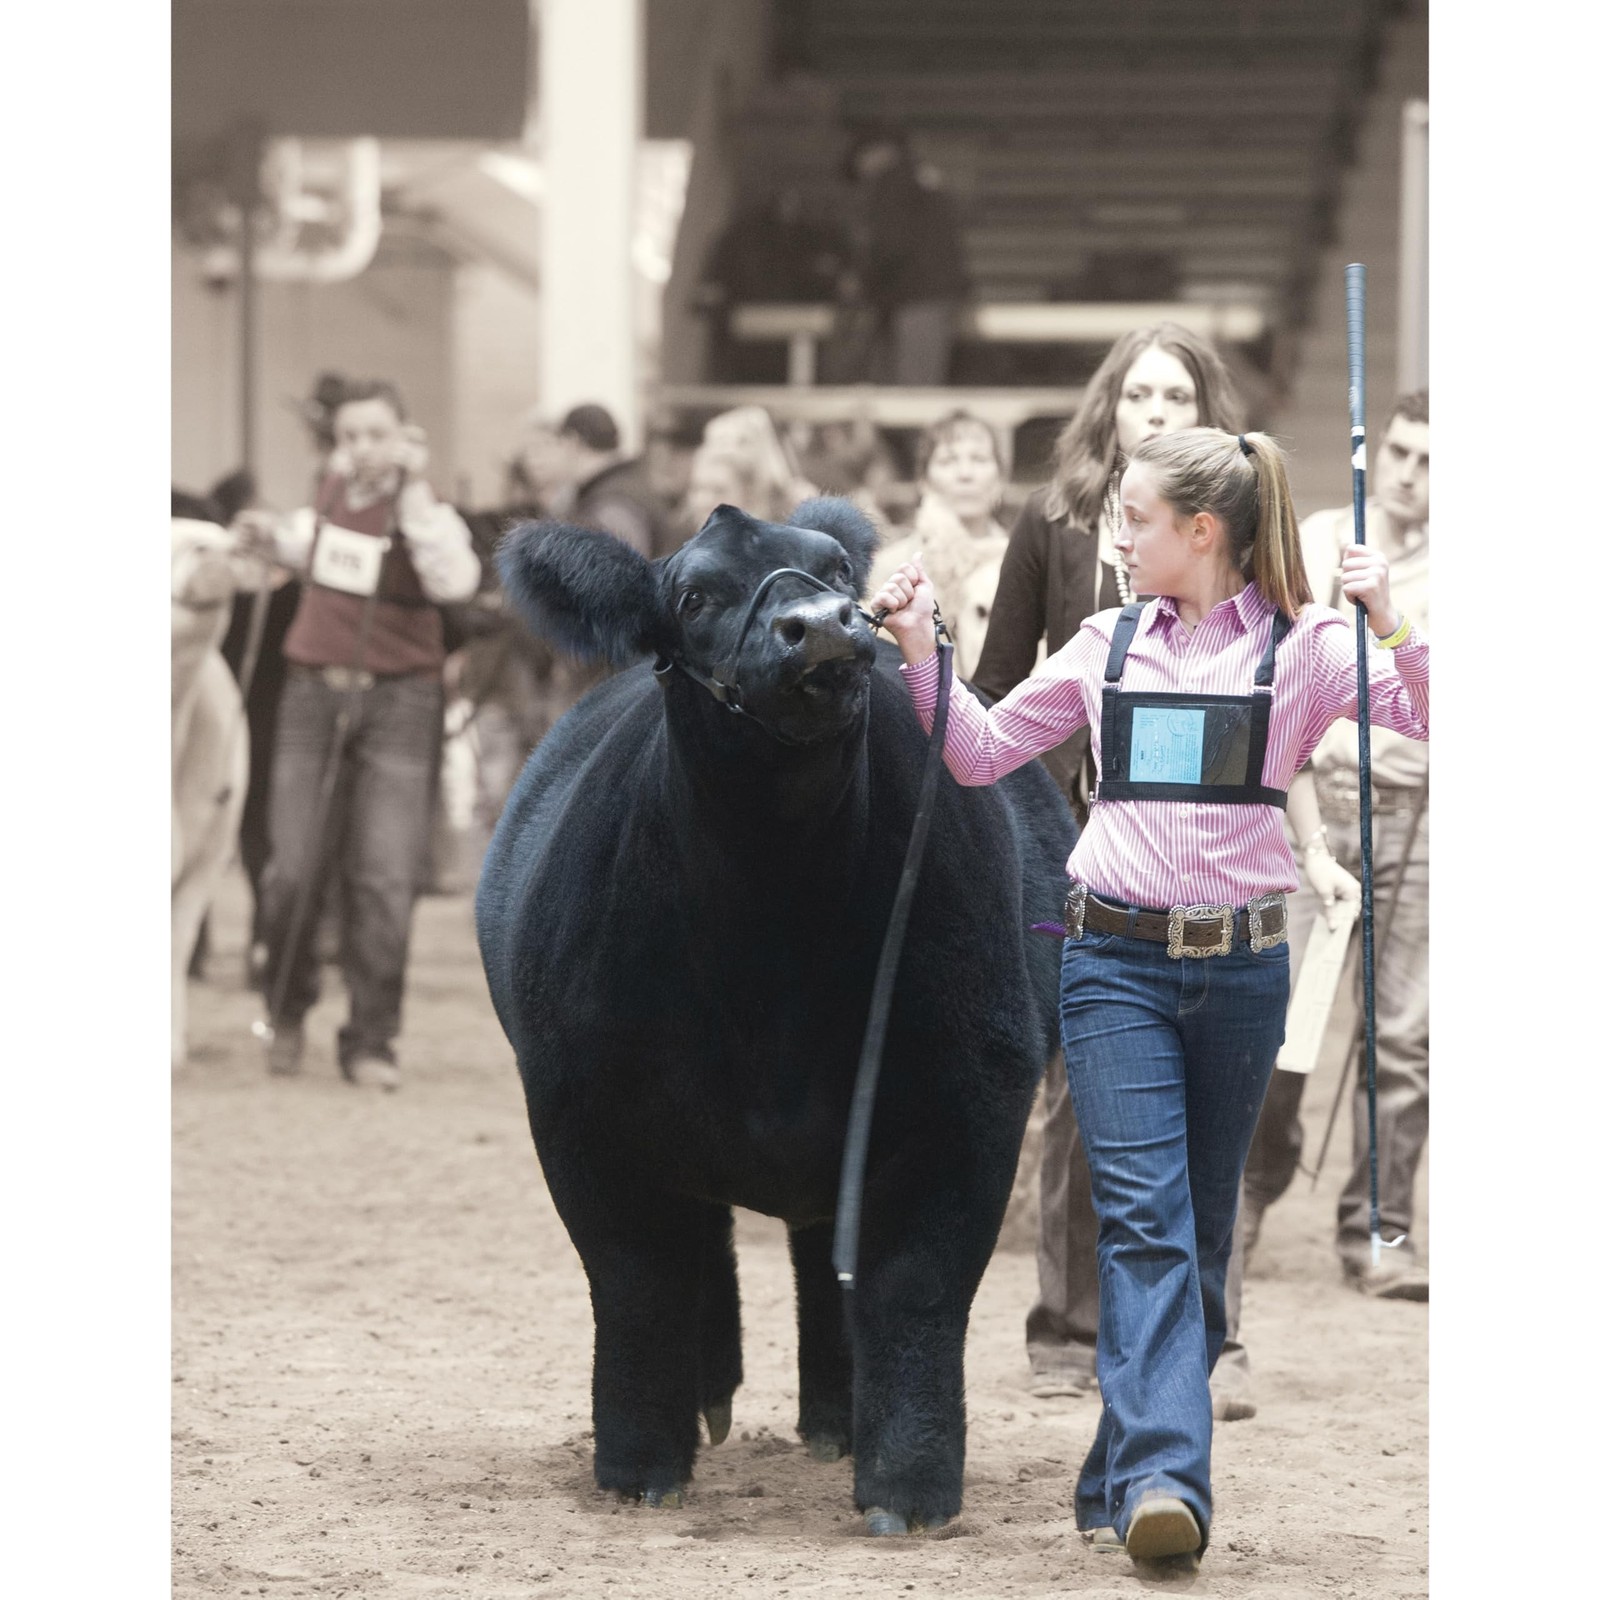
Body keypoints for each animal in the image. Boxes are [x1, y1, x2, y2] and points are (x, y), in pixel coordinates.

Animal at [475, 499, 1077, 1534]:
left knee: (822, 1261)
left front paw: (908, 1489)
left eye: (836, 570)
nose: (823, 625)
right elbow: (638, 1280)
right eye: (691, 596)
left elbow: (913, 1287)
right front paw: (640, 1468)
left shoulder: (970, 1098)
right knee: (707, 1248)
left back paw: (836, 1421)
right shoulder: (578, 1108)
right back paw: (712, 1400)